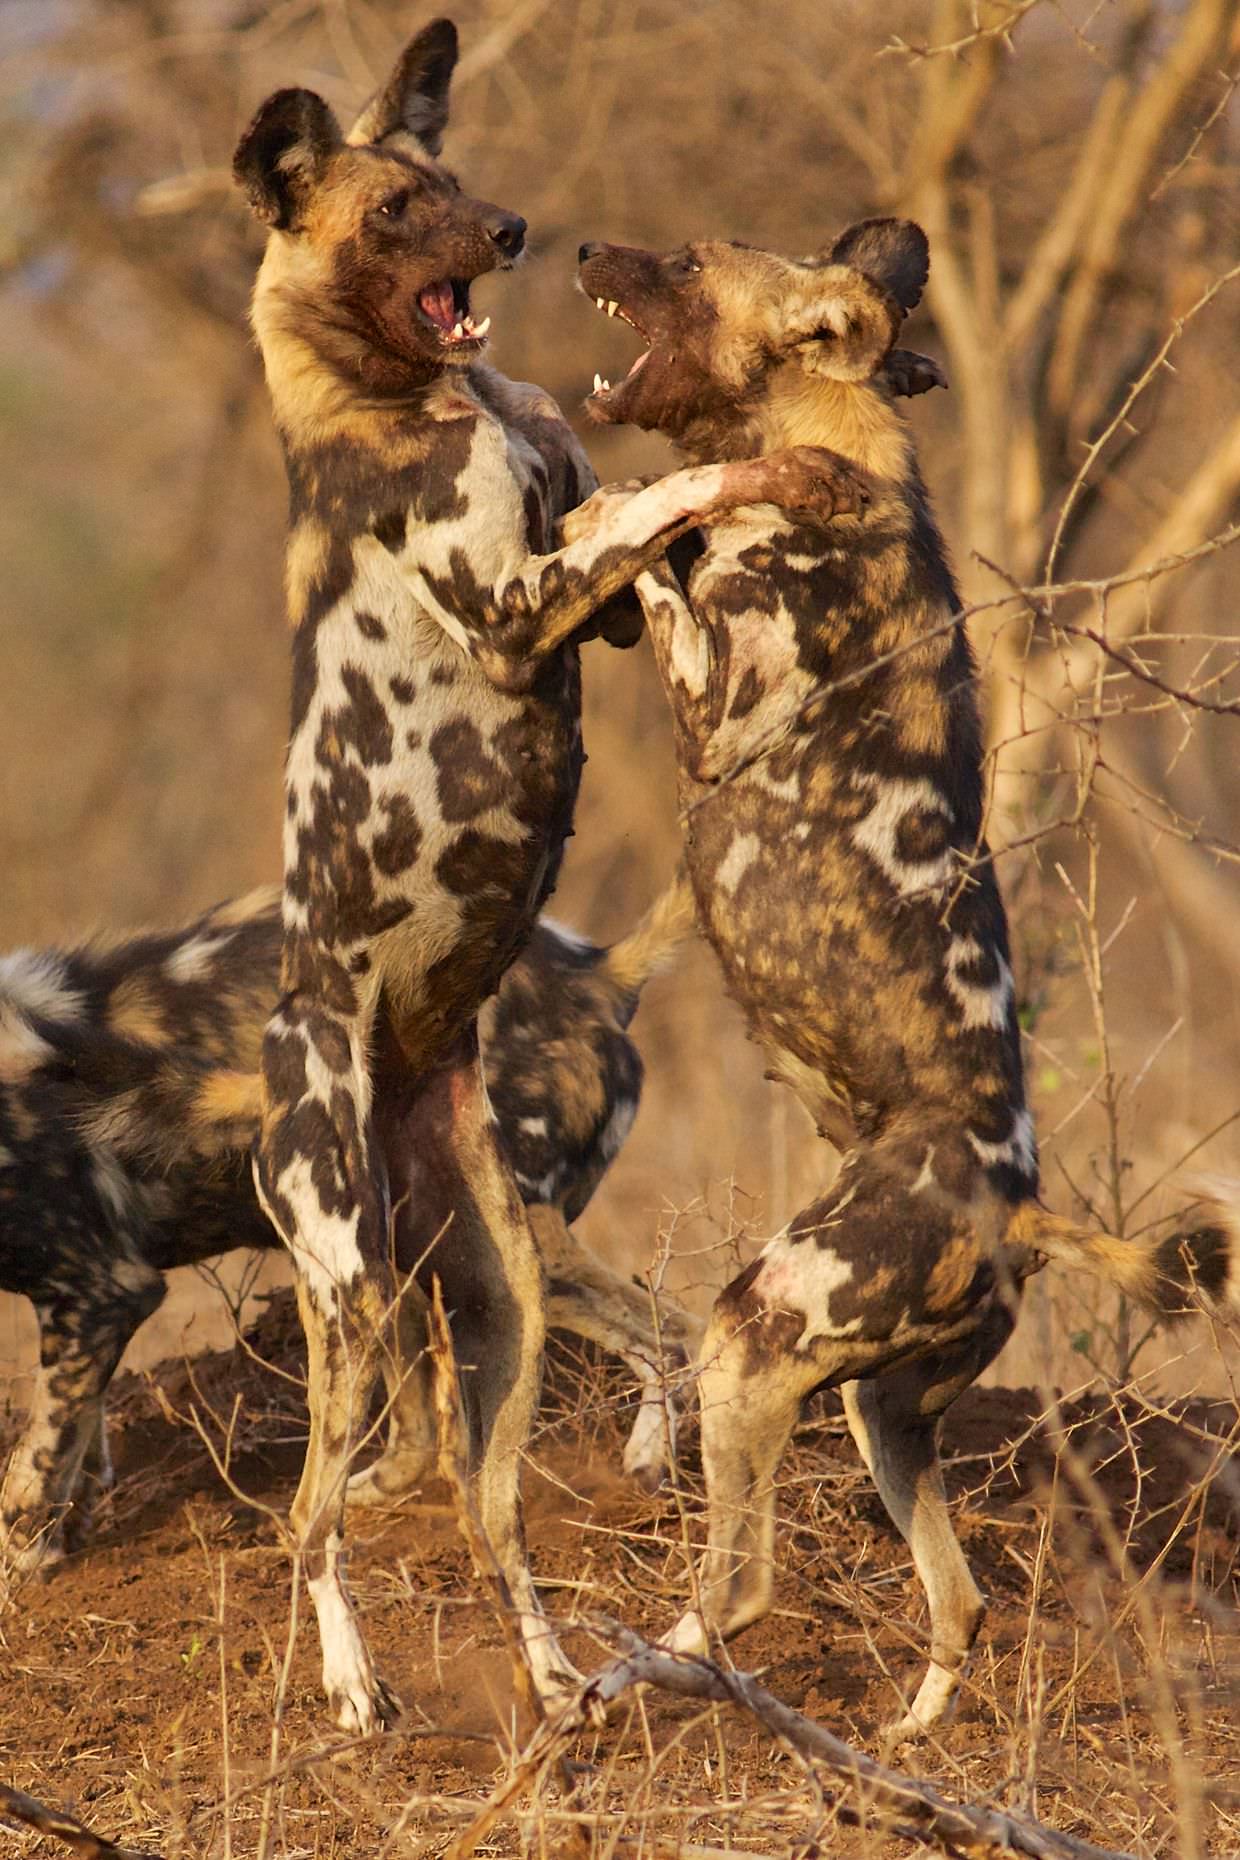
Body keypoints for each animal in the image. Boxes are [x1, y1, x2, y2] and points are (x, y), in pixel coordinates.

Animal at [0, 877, 699, 1577]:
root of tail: (596, 974)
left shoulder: (103, 1292)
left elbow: (32, 1466)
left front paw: (27, 1559)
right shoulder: (89, 1319)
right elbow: (75, 1447)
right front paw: (68, 1534)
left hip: (497, 1249)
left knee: (670, 1336)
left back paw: (651, 1468)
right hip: (395, 1254)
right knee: (425, 1428)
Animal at [230, 14, 862, 1726]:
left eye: (446, 177)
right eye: (396, 211)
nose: (510, 233)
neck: (416, 399)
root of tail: (367, 1081)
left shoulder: (590, 589)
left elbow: (635, 520)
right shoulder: (519, 598)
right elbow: (662, 495)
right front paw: (762, 480)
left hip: (497, 1308)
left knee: (487, 1511)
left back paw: (562, 1672)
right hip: (352, 1296)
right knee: (311, 1520)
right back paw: (353, 1690)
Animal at [580, 221, 1240, 1740]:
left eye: (686, 261)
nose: (580, 243)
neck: (832, 437)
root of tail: (1020, 1207)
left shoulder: (714, 704)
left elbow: (655, 536)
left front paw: (635, 504)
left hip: (757, 1326)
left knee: (744, 1590)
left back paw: (629, 1673)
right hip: (883, 1413)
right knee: (962, 1602)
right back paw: (902, 1739)